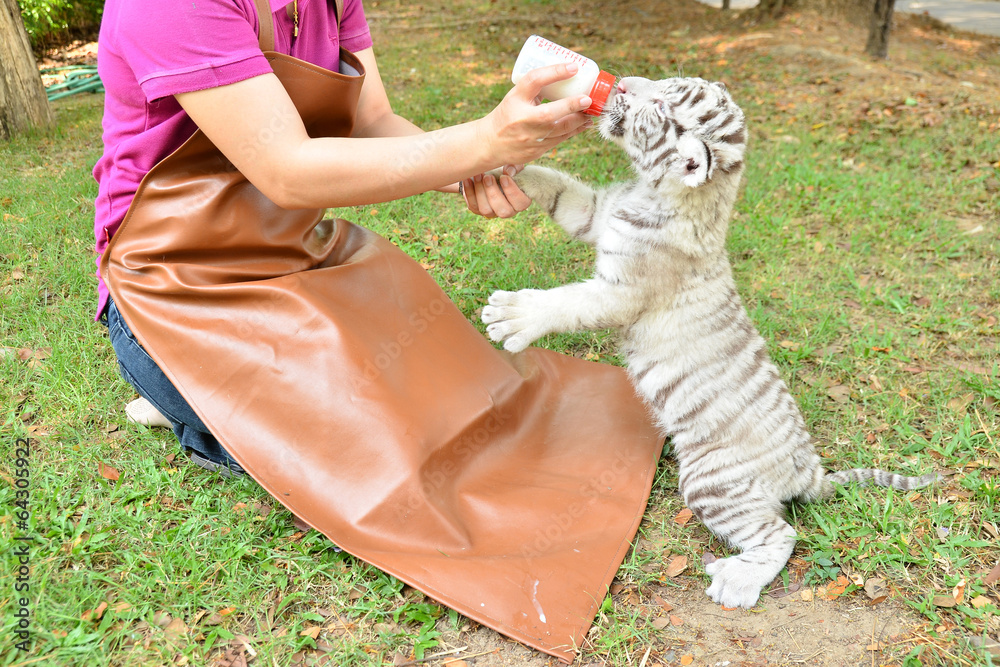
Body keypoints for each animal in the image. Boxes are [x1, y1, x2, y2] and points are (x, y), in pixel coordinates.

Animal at [480, 75, 940, 609]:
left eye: (660, 103)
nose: (622, 83)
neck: (654, 191)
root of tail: (809, 469)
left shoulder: (619, 293)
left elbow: (567, 302)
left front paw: (511, 315)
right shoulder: (595, 213)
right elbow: (557, 187)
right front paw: (500, 168)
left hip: (711, 481)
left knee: (782, 534)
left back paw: (734, 582)